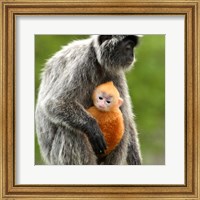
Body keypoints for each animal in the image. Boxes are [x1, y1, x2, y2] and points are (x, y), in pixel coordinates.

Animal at [35, 35, 142, 165]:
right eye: (128, 47)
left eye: (132, 47)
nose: (132, 55)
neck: (98, 62)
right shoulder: (82, 62)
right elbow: (54, 102)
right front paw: (92, 127)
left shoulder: (115, 73)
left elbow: (126, 116)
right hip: (56, 157)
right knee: (70, 130)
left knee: (123, 122)